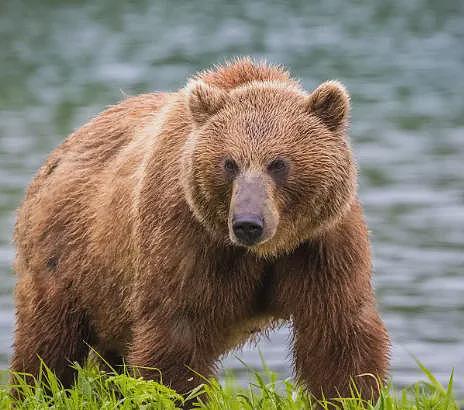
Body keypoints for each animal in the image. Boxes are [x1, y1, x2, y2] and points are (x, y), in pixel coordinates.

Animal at [10, 57, 390, 404]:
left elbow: (337, 332)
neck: (265, 251)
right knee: (48, 341)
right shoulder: (187, 237)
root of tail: (64, 147)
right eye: (230, 163)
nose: (248, 223)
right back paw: (34, 391)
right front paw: (177, 395)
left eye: (278, 163)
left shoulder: (320, 243)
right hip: (70, 253)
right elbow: (177, 333)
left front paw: (349, 396)